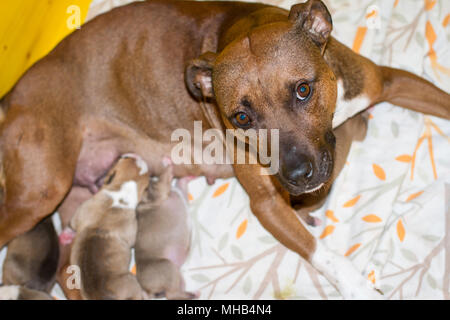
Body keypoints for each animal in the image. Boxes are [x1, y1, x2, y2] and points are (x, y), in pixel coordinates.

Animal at [69, 155, 149, 300]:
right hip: (132, 280)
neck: (120, 191)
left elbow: (72, 224)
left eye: (125, 157)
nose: (136, 155)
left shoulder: (80, 212)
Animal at [134, 165, 196, 300]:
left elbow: (181, 182)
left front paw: (188, 177)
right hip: (168, 268)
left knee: (175, 293)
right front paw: (168, 164)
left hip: (176, 275)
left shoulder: (180, 191)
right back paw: (195, 294)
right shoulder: (159, 191)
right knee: (171, 295)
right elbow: (164, 178)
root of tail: (146, 291)